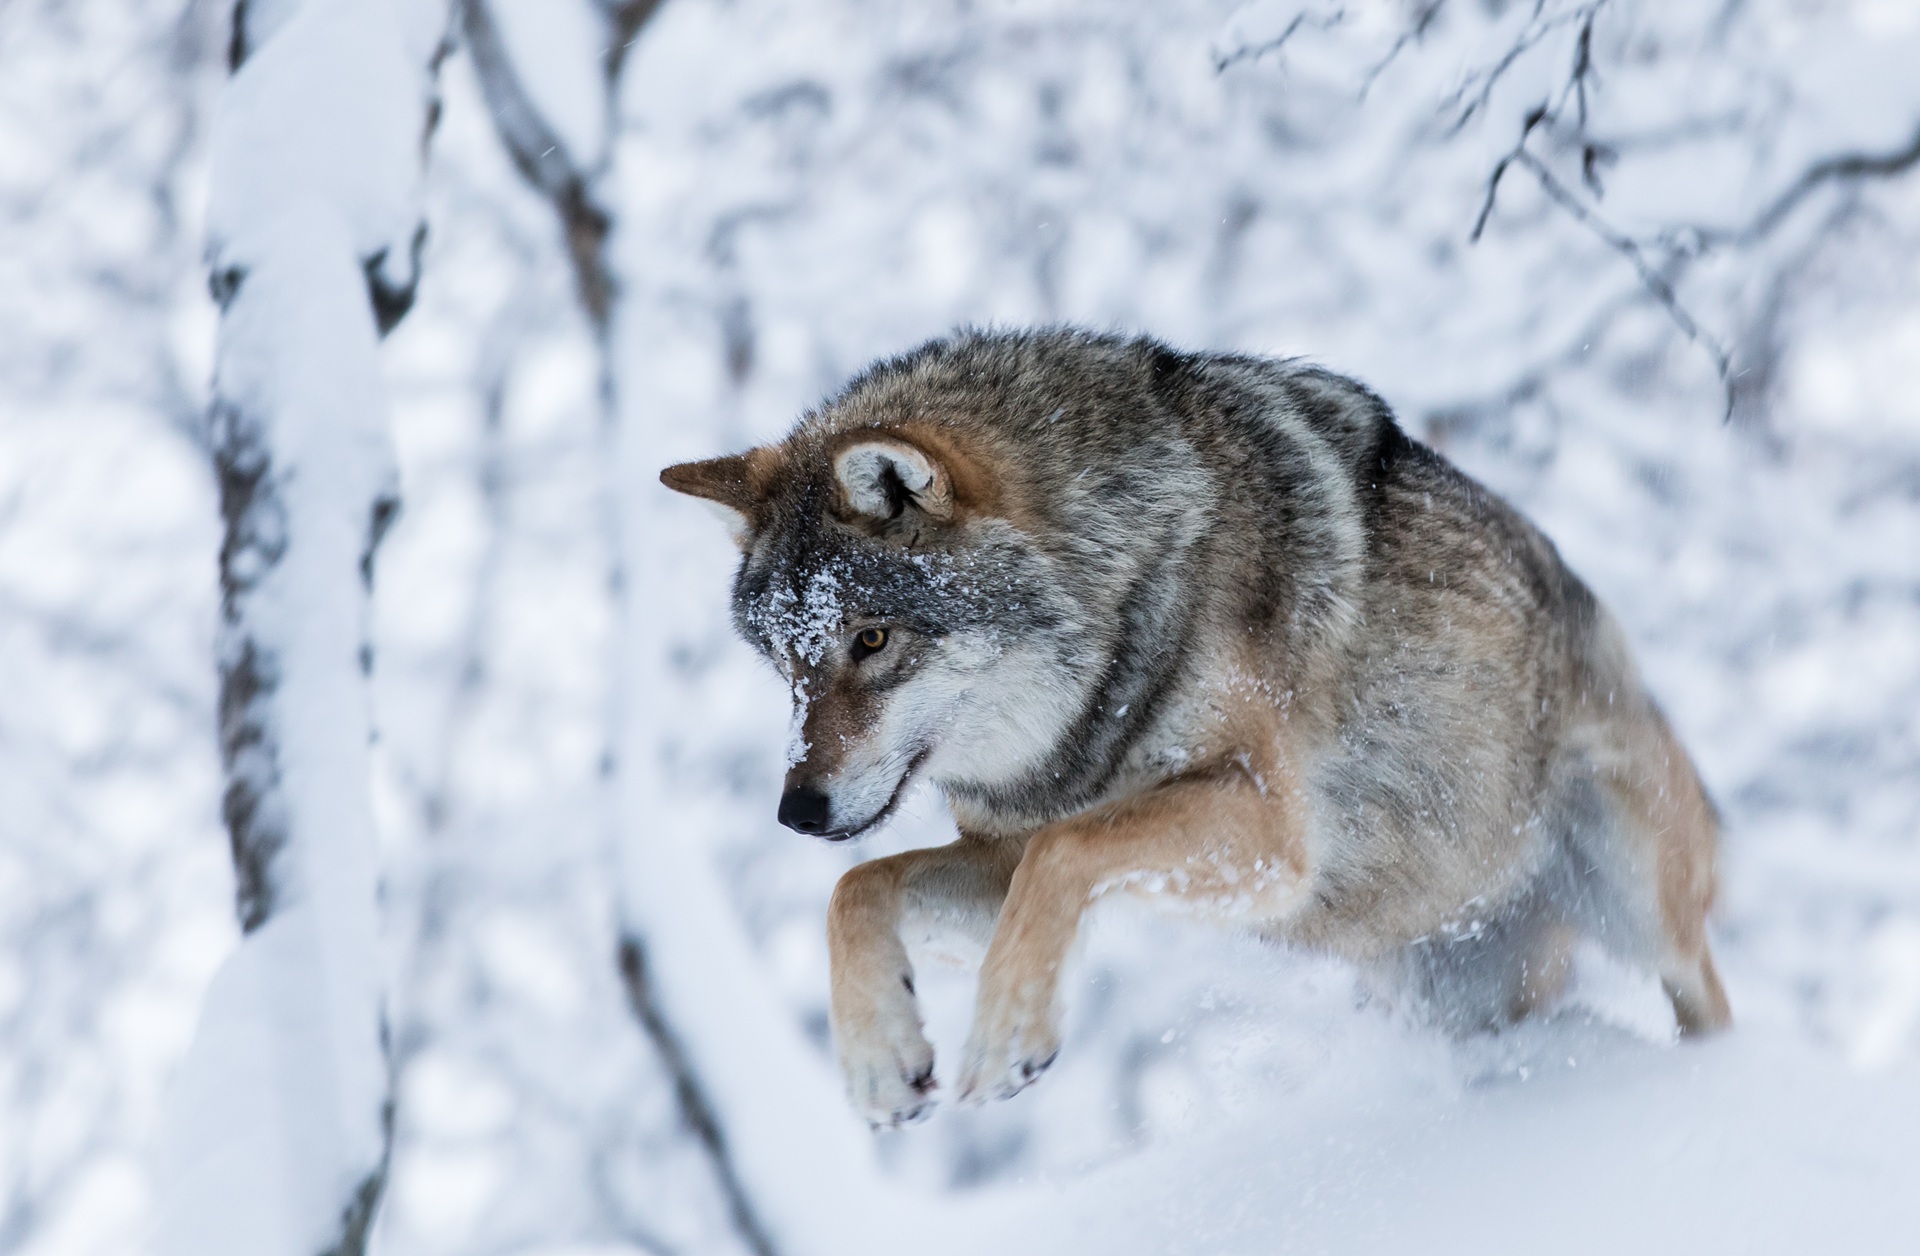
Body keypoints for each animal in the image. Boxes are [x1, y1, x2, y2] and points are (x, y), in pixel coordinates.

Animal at [661, 328, 1730, 1129]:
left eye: (871, 639)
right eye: (784, 665)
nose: (797, 811)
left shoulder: (1266, 828)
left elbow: (1060, 852)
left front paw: (1006, 1037)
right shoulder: (1009, 852)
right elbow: (858, 889)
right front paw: (882, 1061)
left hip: (1639, 895)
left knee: (1704, 1001)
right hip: (1441, 992)